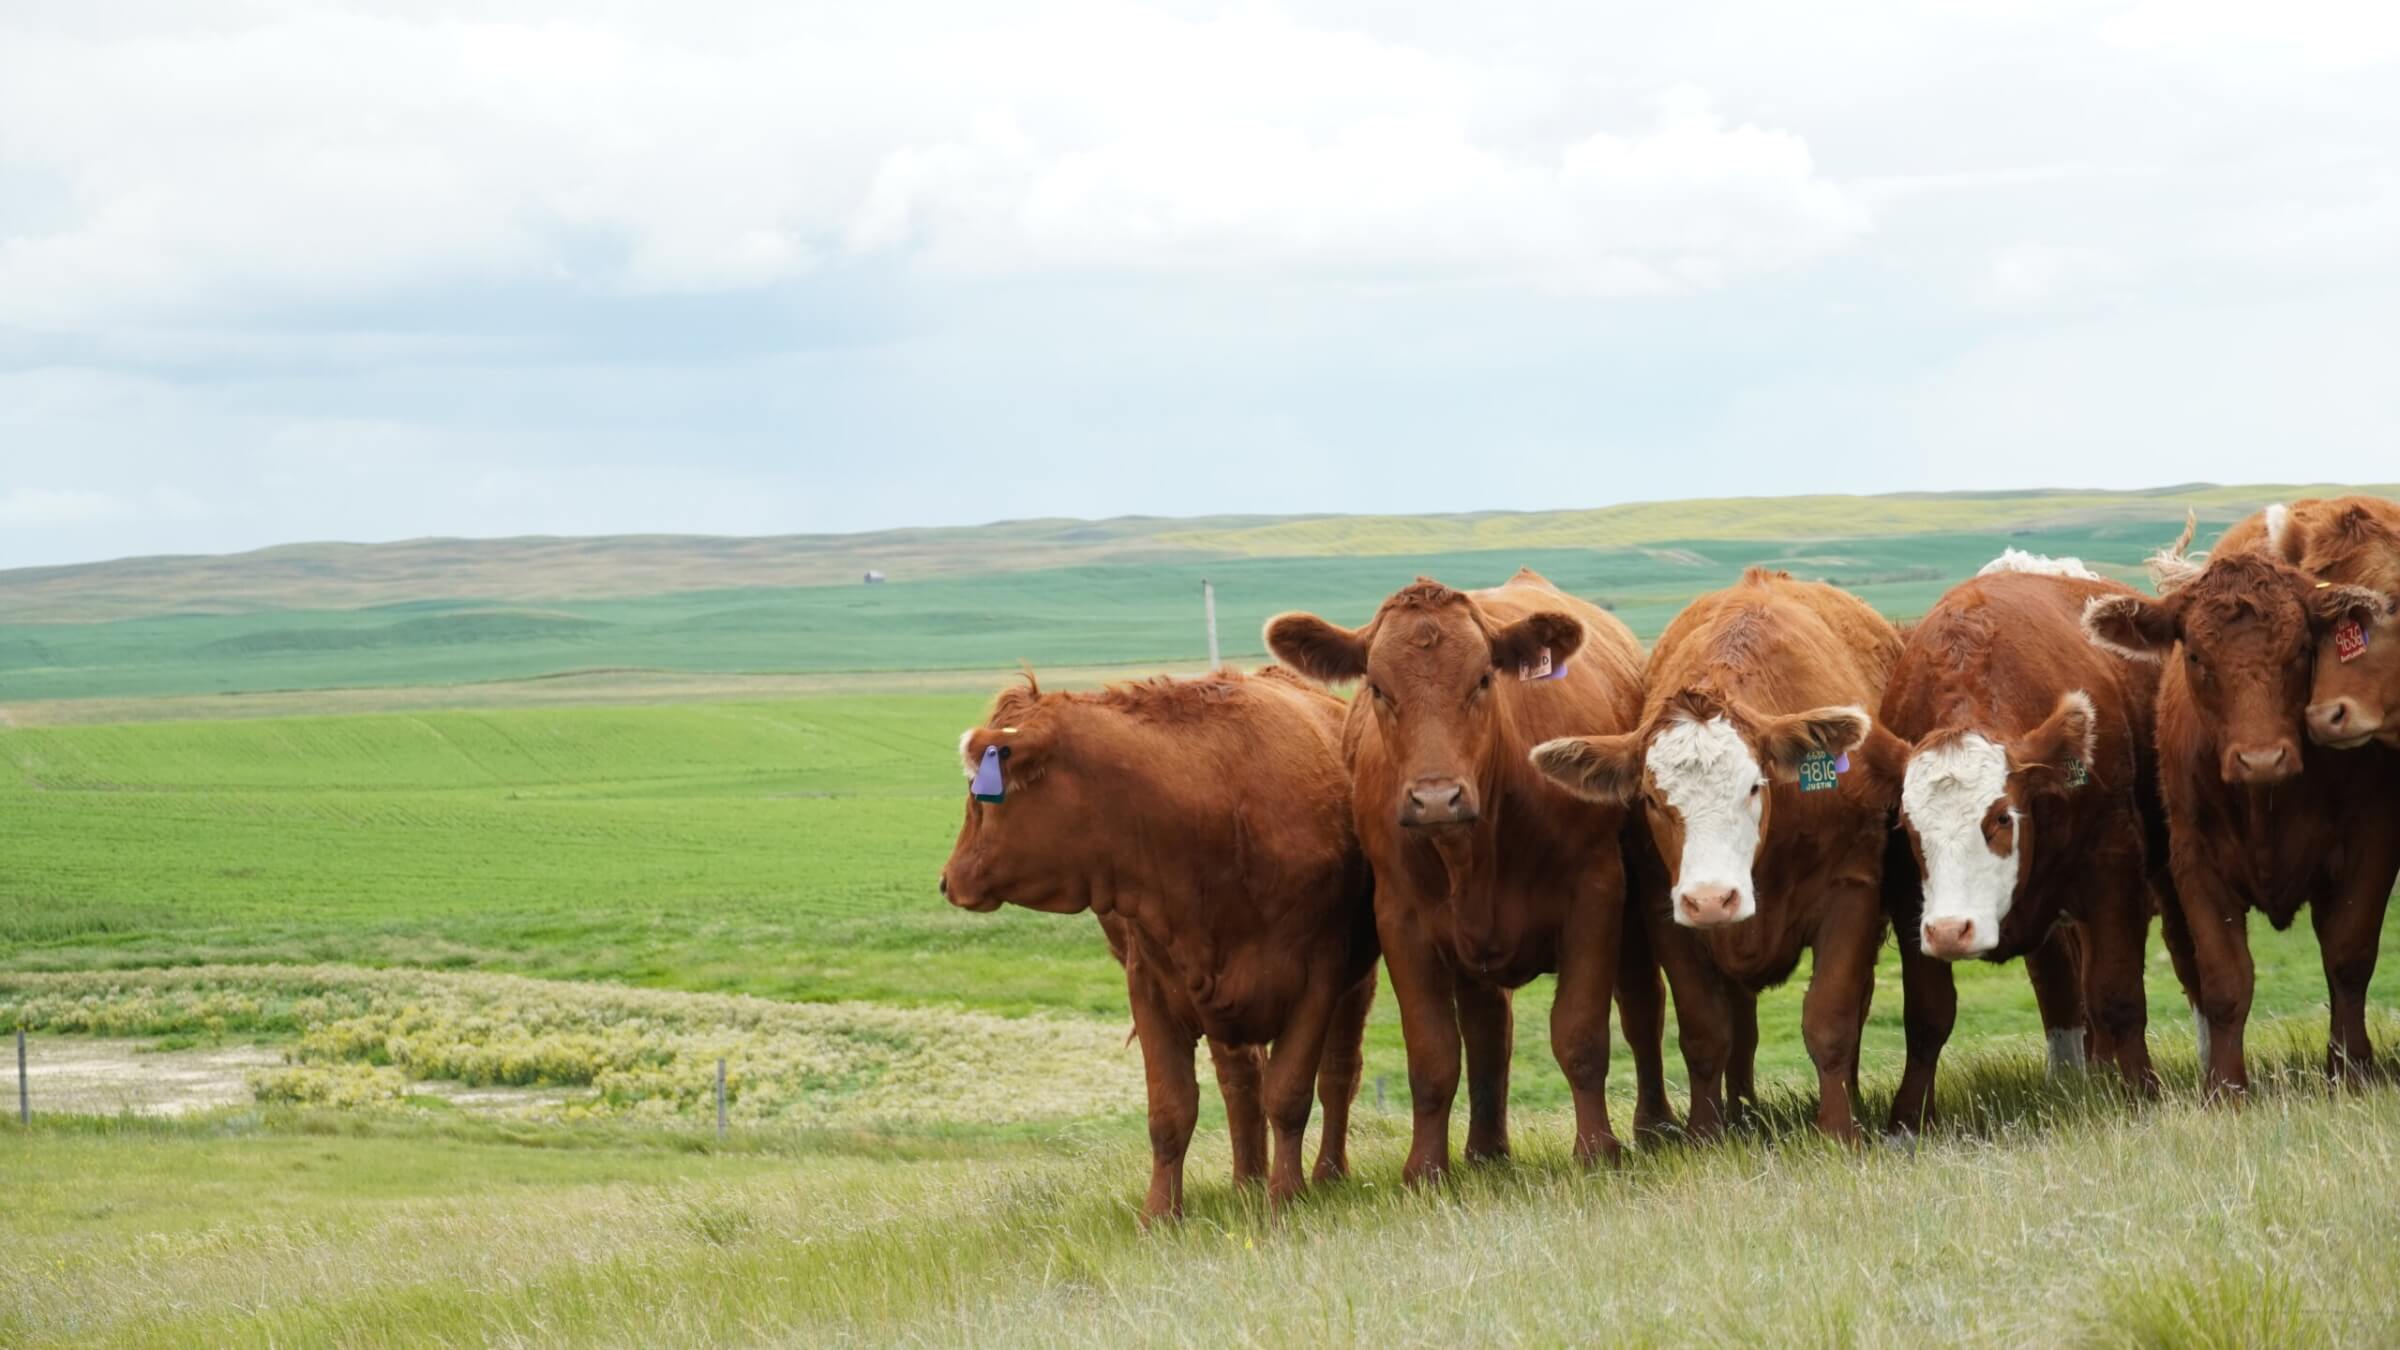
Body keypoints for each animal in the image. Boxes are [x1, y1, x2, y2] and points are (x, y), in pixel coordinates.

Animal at [940, 667, 1382, 1215]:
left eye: (981, 797)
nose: (948, 879)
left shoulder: (1317, 980)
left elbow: (1291, 1094)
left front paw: (1285, 1197)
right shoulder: (1152, 988)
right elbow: (1171, 1111)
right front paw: (1160, 1213)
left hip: (1352, 984)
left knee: (1338, 1073)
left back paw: (1325, 1174)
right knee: (1241, 1083)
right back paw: (1246, 1181)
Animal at [1267, 566, 1680, 1177]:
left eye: (1484, 679)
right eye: (1377, 688)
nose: (1436, 799)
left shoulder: (1596, 895)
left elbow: (1581, 1033)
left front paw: (1596, 1148)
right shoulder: (1402, 921)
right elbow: (1433, 1054)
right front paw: (1425, 1169)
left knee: (1641, 1009)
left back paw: (1654, 1126)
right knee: (1489, 1032)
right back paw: (1486, 1151)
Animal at [1536, 564, 1910, 1133]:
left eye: (1755, 786)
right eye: (1651, 798)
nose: (1712, 898)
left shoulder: (1853, 891)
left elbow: (1832, 1017)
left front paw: (1840, 1128)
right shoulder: (1666, 911)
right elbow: (1706, 1031)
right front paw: (1706, 1132)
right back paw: (1741, 1111)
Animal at [1872, 552, 2198, 1129]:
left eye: (2002, 817)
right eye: (1910, 826)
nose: (1952, 931)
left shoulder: (2113, 871)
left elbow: (2117, 995)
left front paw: (2141, 1094)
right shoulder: (1912, 895)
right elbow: (1928, 1015)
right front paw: (1907, 1121)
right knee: (2060, 990)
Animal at [2083, 521, 2400, 1085]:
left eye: (2302, 649)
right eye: (2195, 656)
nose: (2261, 758)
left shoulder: (2372, 844)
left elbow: (2348, 958)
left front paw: (2350, 1068)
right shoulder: (2195, 864)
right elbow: (2225, 980)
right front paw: (2225, 1085)